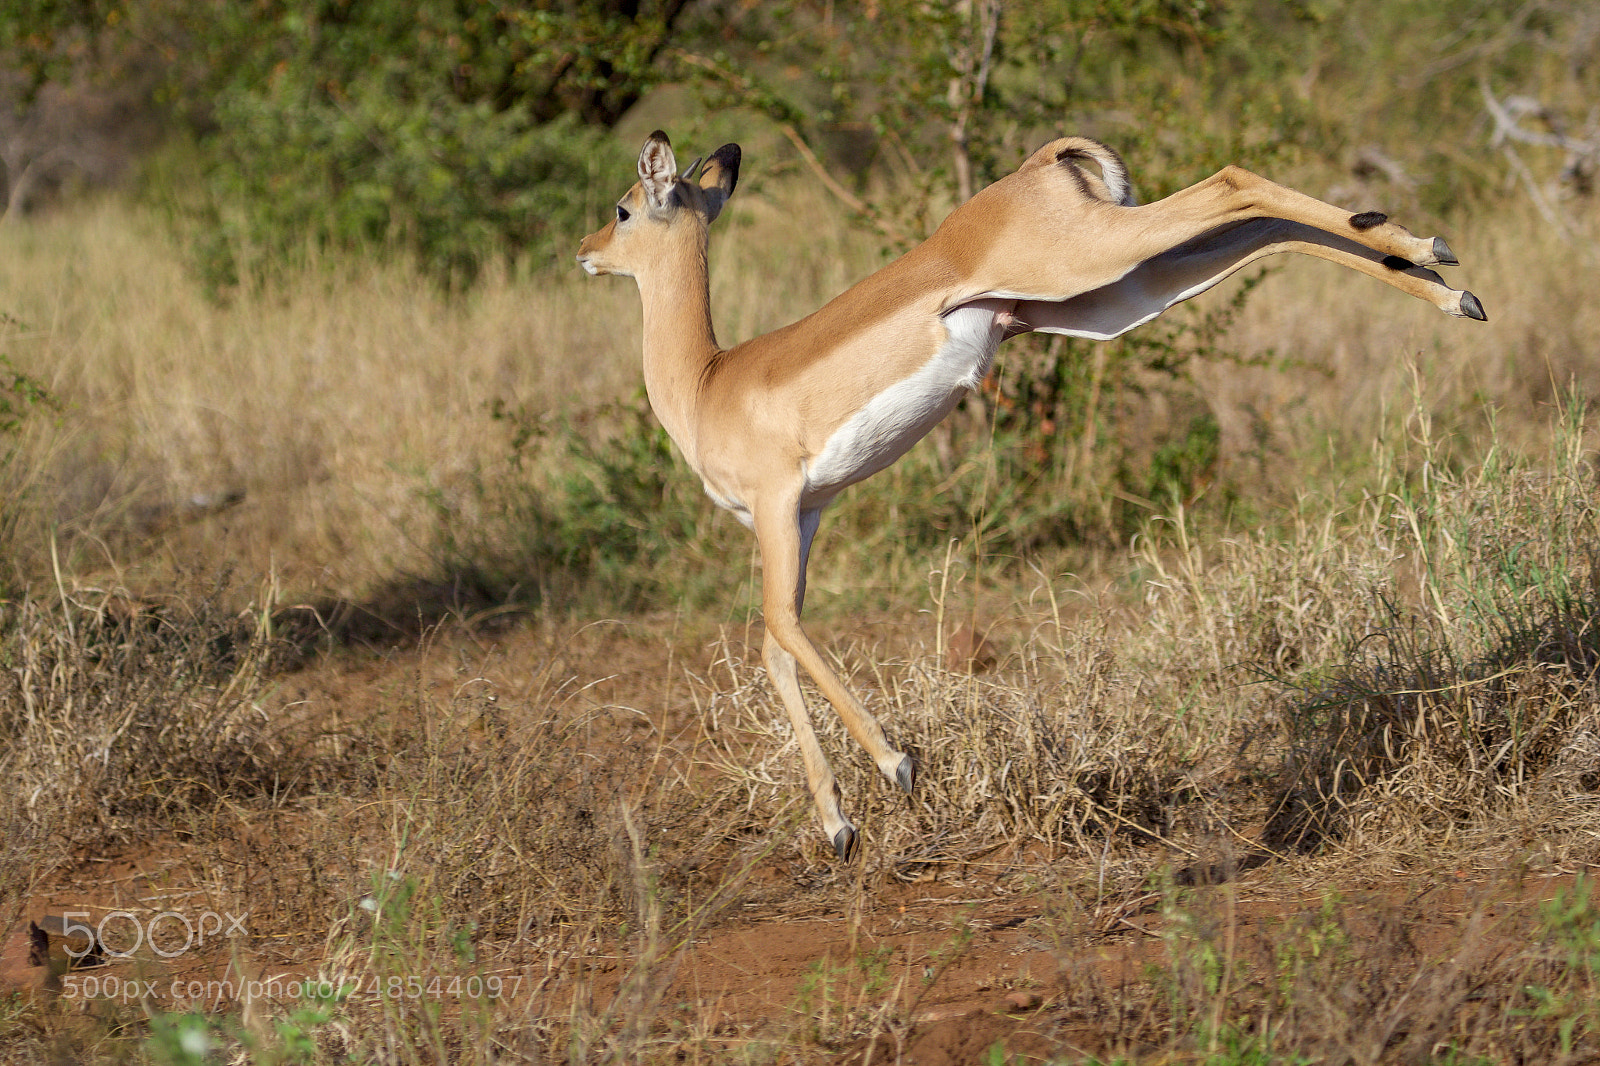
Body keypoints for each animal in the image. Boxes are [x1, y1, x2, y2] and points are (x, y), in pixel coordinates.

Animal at [577, 130, 1484, 860]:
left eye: (624, 208)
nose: (585, 251)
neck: (709, 381)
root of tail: (1033, 167)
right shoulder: (803, 514)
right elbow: (773, 646)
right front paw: (838, 826)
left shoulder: (777, 504)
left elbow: (780, 627)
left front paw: (898, 765)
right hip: (1111, 294)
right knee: (1265, 231)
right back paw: (1449, 285)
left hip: (1088, 262)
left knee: (1233, 183)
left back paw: (1437, 251)